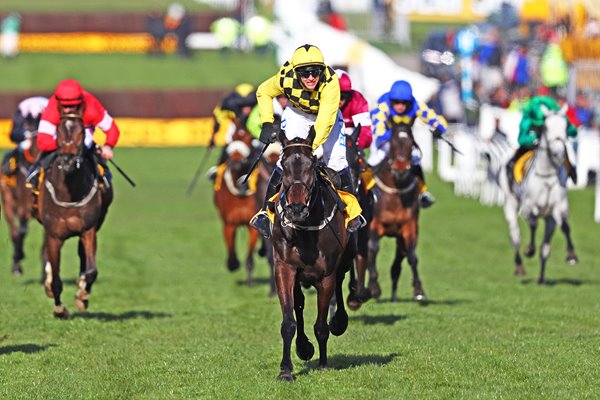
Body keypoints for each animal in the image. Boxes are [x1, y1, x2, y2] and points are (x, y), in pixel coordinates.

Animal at [36, 109, 112, 318]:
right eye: (58, 131)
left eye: (82, 132)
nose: (68, 160)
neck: (69, 194)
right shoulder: (53, 234)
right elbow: (55, 278)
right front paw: (59, 309)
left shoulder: (88, 229)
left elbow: (91, 270)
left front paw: (82, 296)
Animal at [213, 122, 260, 282]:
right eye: (232, 137)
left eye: (249, 138)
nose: (236, 164)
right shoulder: (229, 224)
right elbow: (231, 253)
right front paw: (233, 264)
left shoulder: (253, 224)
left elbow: (250, 257)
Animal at [272, 128, 352, 382]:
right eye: (284, 165)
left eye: (311, 164)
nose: (296, 209)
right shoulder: (284, 268)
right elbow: (289, 321)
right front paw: (286, 370)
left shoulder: (326, 275)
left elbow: (321, 325)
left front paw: (324, 364)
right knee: (299, 303)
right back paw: (304, 346)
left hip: (345, 261)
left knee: (341, 284)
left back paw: (339, 322)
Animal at [366, 123, 426, 302]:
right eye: (392, 143)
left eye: (411, 144)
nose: (400, 169)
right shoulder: (374, 225)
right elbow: (372, 249)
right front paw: (374, 287)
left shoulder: (409, 226)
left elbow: (412, 255)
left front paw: (418, 290)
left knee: (398, 263)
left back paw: (393, 296)